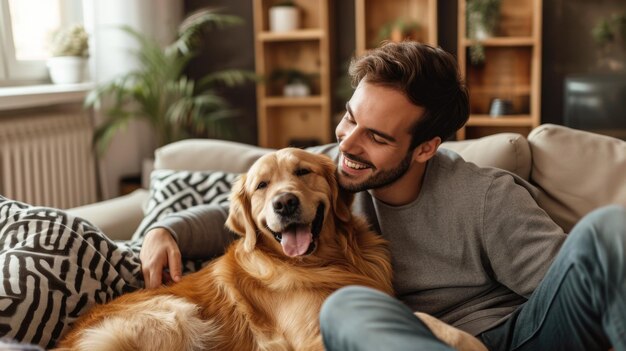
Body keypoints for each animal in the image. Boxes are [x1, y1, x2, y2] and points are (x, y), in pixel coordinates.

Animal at [56, 149, 482, 351]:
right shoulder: (311, 336)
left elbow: (427, 319)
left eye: (303, 172)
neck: (328, 261)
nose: (284, 203)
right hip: (172, 315)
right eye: (261, 185)